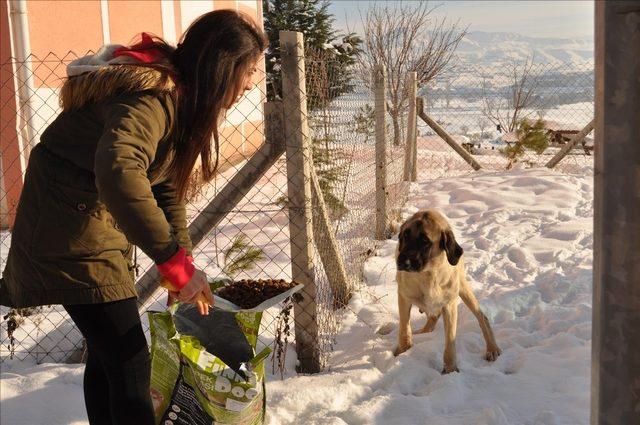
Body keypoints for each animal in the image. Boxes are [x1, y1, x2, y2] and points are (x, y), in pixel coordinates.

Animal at [392, 209, 502, 372]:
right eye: (405, 235)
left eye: (425, 241)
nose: (401, 261)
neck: (428, 275)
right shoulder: (404, 297)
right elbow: (404, 328)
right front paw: (403, 351)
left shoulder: (449, 305)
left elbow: (450, 339)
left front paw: (450, 369)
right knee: (432, 316)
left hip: (463, 289)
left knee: (482, 317)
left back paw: (492, 348)